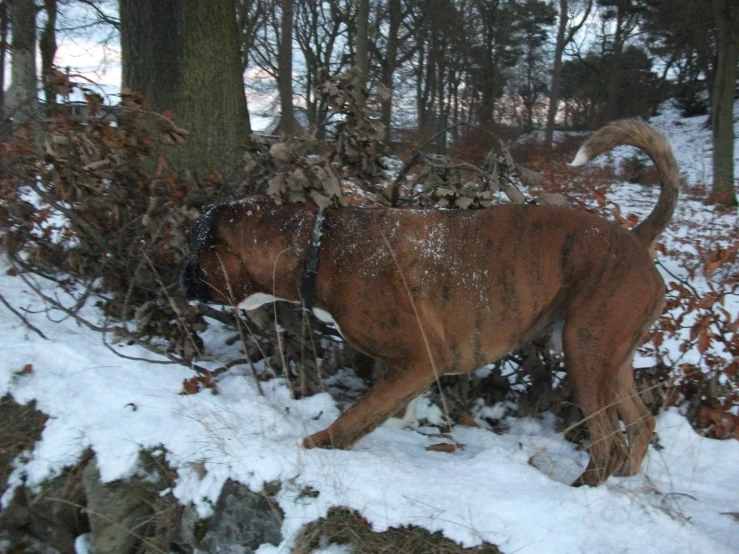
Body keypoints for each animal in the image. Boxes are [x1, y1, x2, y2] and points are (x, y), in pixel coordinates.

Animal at [182, 119, 680, 484]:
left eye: (197, 246)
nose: (180, 274)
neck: (320, 247)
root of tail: (636, 240)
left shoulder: (421, 359)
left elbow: (357, 415)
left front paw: (317, 446)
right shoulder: (408, 370)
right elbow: (385, 409)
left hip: (585, 352)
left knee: (607, 441)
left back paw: (584, 490)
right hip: (609, 358)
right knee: (640, 424)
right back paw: (627, 481)